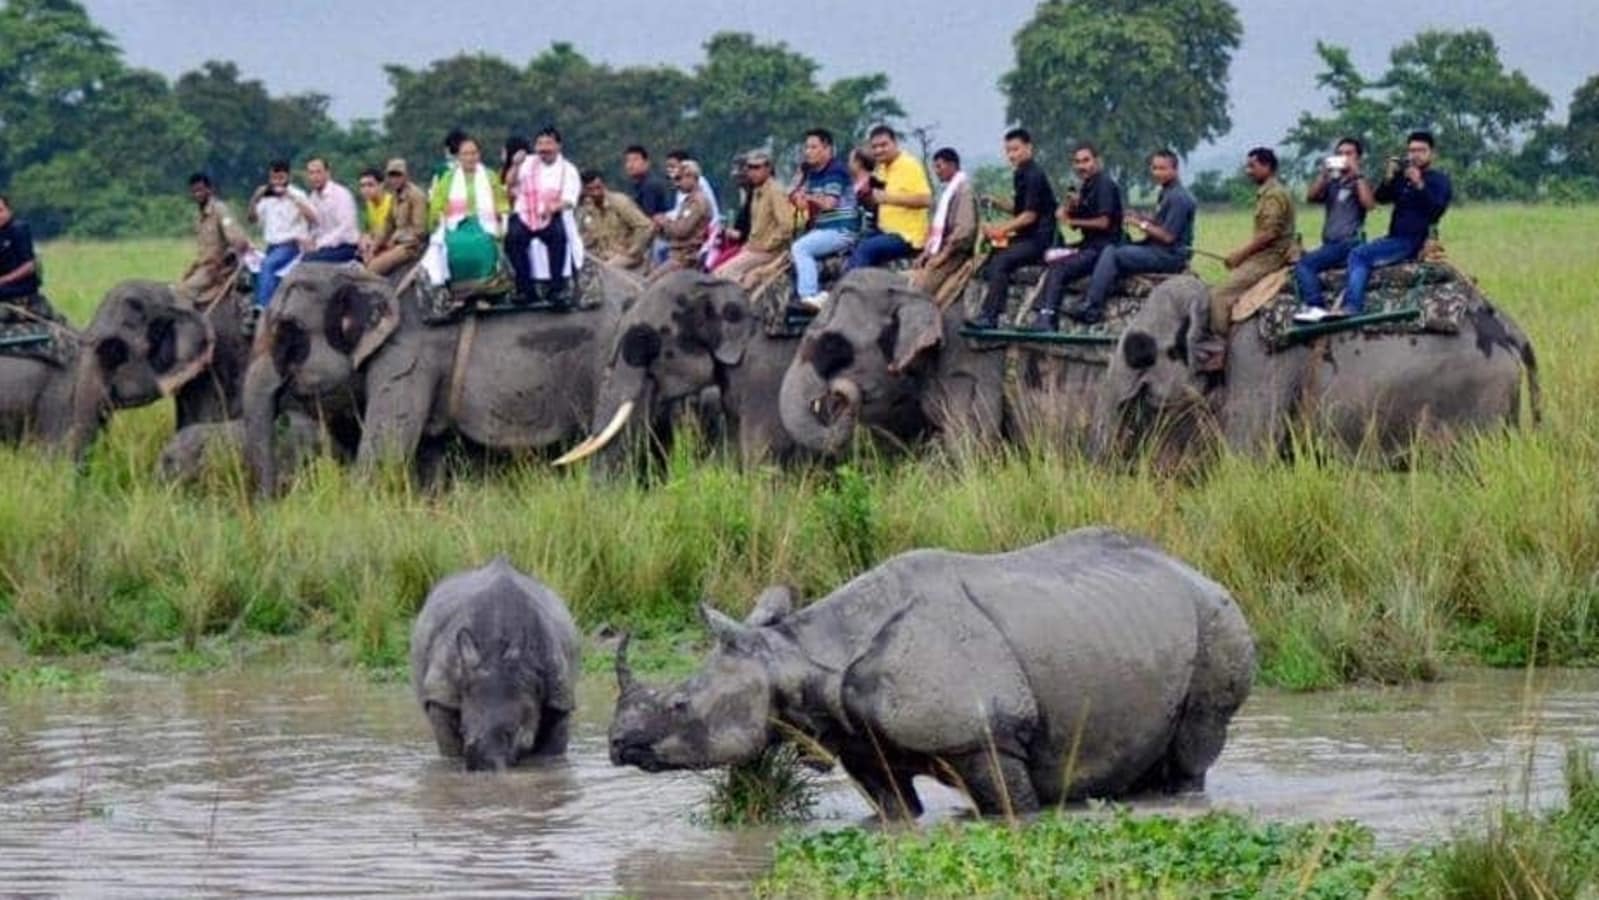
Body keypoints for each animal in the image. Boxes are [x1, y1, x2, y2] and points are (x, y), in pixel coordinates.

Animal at [241, 260, 636, 495]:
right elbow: (427, 456)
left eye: (287, 332)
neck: (371, 277)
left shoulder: (406, 359)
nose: (277, 499)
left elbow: (384, 454)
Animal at [412, 556, 582, 773]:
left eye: (512, 732)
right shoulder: (441, 695)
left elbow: (551, 753)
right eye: (463, 730)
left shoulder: (559, 698)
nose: (480, 765)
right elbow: (450, 750)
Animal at [604, 527, 1253, 818]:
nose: (615, 744)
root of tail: (1194, 569)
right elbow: (896, 811)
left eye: (680, 705)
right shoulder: (859, 742)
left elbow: (1013, 808)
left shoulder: (984, 735)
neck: (796, 653)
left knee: (1197, 741)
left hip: (1216, 618)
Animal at [1100, 274, 1535, 463]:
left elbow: (1247, 455)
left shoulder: (1259, 361)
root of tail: (1514, 331)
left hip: (1477, 402)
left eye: (1139, 350)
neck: (1217, 301)